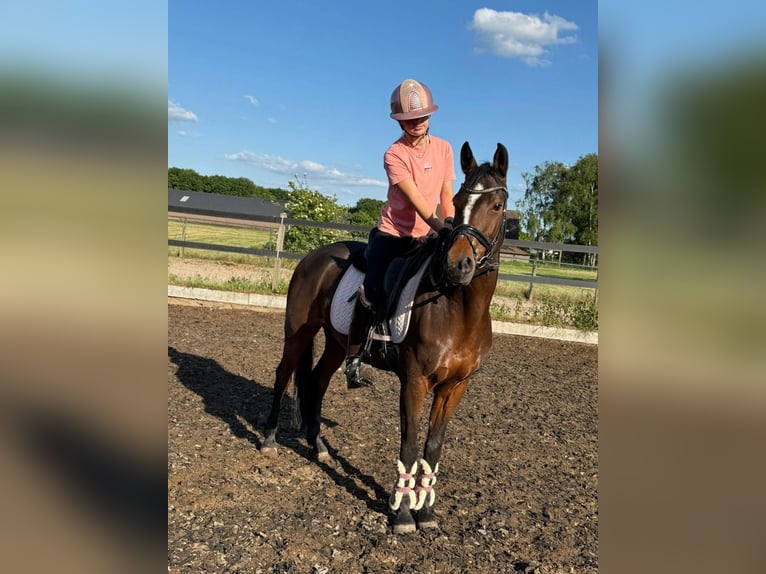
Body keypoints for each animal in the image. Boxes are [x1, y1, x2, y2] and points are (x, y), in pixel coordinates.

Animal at [262, 141, 508, 534]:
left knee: (316, 381)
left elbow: (432, 447)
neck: (457, 307)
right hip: (298, 332)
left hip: (336, 344)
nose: (458, 265)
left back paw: (318, 446)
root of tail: (313, 257)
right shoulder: (415, 381)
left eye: (497, 205)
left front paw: (427, 513)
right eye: (457, 202)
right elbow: (409, 444)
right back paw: (269, 439)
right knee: (283, 373)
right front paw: (404, 516)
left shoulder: (455, 386)